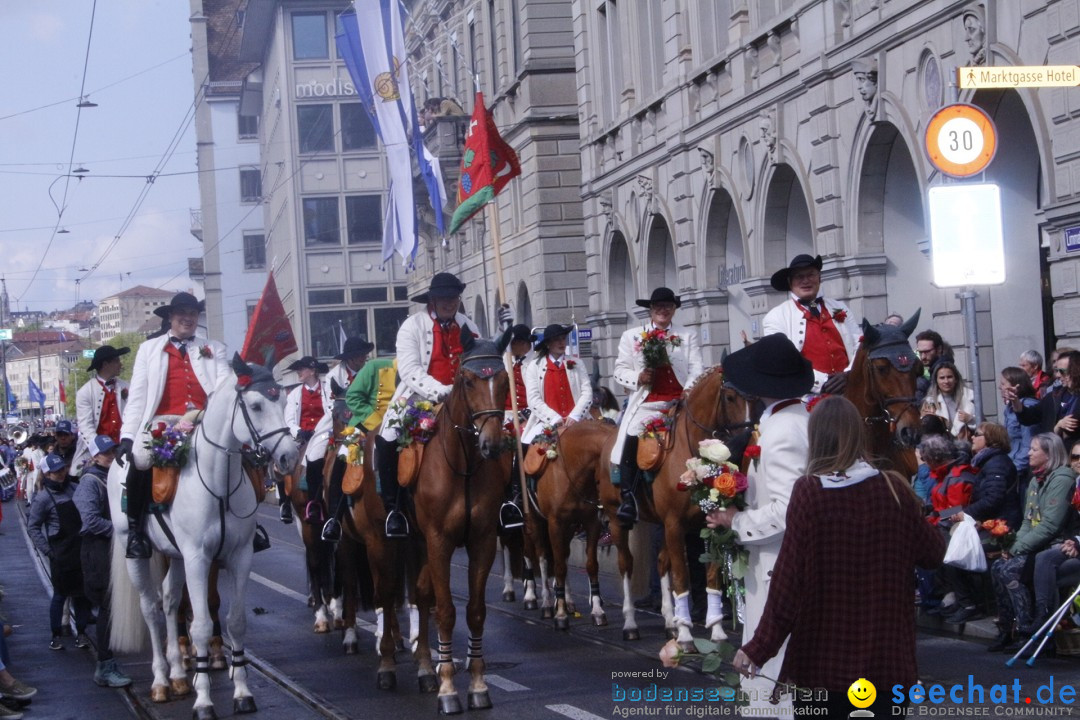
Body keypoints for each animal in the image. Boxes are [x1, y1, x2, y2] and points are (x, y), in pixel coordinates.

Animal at [109, 356, 298, 720]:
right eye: (256, 406)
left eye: (283, 401)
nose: (289, 457)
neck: (217, 483)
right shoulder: (198, 558)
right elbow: (200, 626)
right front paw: (204, 701)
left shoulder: (239, 557)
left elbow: (236, 622)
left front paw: (242, 693)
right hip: (138, 553)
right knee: (151, 608)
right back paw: (161, 682)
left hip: (176, 556)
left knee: (170, 602)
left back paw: (179, 676)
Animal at [412, 334, 514, 716]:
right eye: (468, 381)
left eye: (504, 381)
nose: (492, 444)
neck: (464, 468)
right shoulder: (438, 542)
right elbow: (445, 612)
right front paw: (448, 690)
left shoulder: (482, 541)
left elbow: (475, 612)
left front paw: (478, 685)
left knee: (420, 592)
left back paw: (425, 670)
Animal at [522, 418, 617, 626]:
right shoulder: (555, 523)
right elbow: (557, 566)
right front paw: (560, 613)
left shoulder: (591, 522)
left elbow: (590, 564)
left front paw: (597, 610)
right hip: (532, 519)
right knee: (539, 556)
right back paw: (542, 601)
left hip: (570, 526)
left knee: (562, 554)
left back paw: (568, 600)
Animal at [591, 367, 751, 647]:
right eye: (730, 397)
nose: (743, 443)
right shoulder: (675, 524)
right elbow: (681, 577)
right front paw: (687, 635)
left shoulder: (705, 523)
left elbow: (711, 576)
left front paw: (716, 630)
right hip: (617, 520)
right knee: (626, 564)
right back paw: (631, 623)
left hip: (662, 524)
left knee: (661, 562)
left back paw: (670, 622)